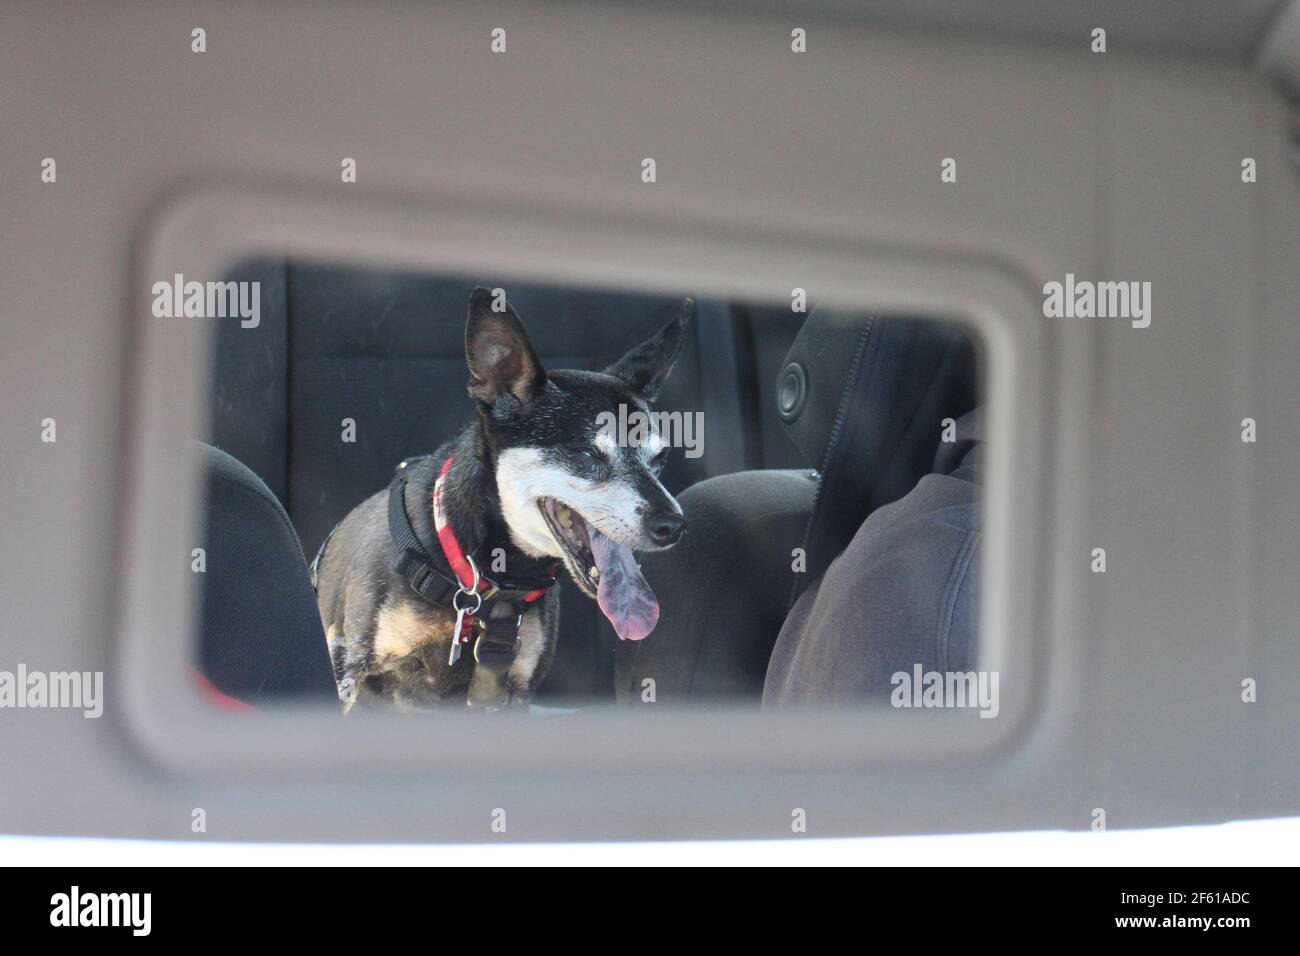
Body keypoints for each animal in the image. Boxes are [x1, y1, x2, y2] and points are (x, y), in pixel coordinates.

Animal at [312, 287, 691, 712]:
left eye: (661, 458)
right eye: (588, 454)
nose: (672, 525)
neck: (495, 579)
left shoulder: (514, 688)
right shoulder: (347, 670)